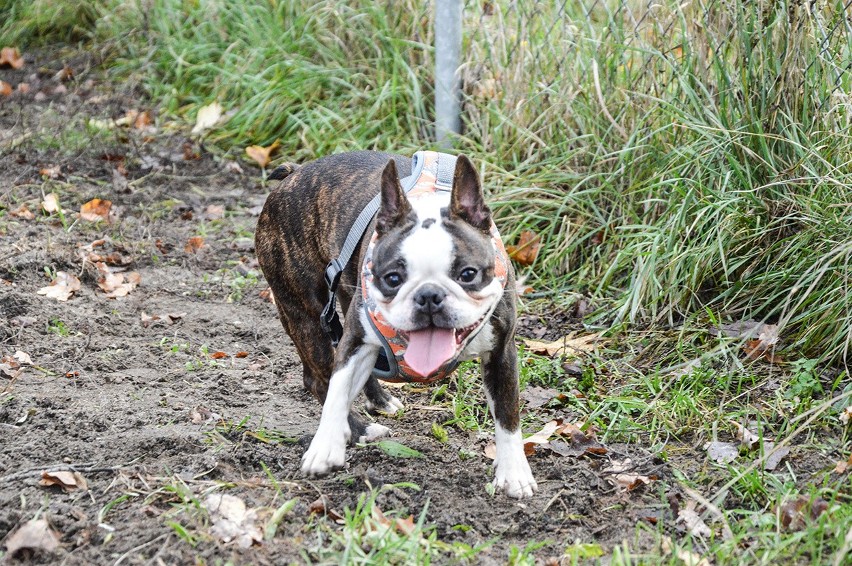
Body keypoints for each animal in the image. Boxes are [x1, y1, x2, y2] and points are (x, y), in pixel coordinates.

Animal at [253, 149, 536, 500]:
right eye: (392, 279)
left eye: (467, 274)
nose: (429, 295)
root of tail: (294, 173)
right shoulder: (355, 340)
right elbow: (337, 389)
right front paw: (325, 446)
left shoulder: (501, 354)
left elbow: (508, 415)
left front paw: (514, 473)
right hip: (303, 310)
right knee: (319, 379)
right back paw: (361, 429)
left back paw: (380, 401)